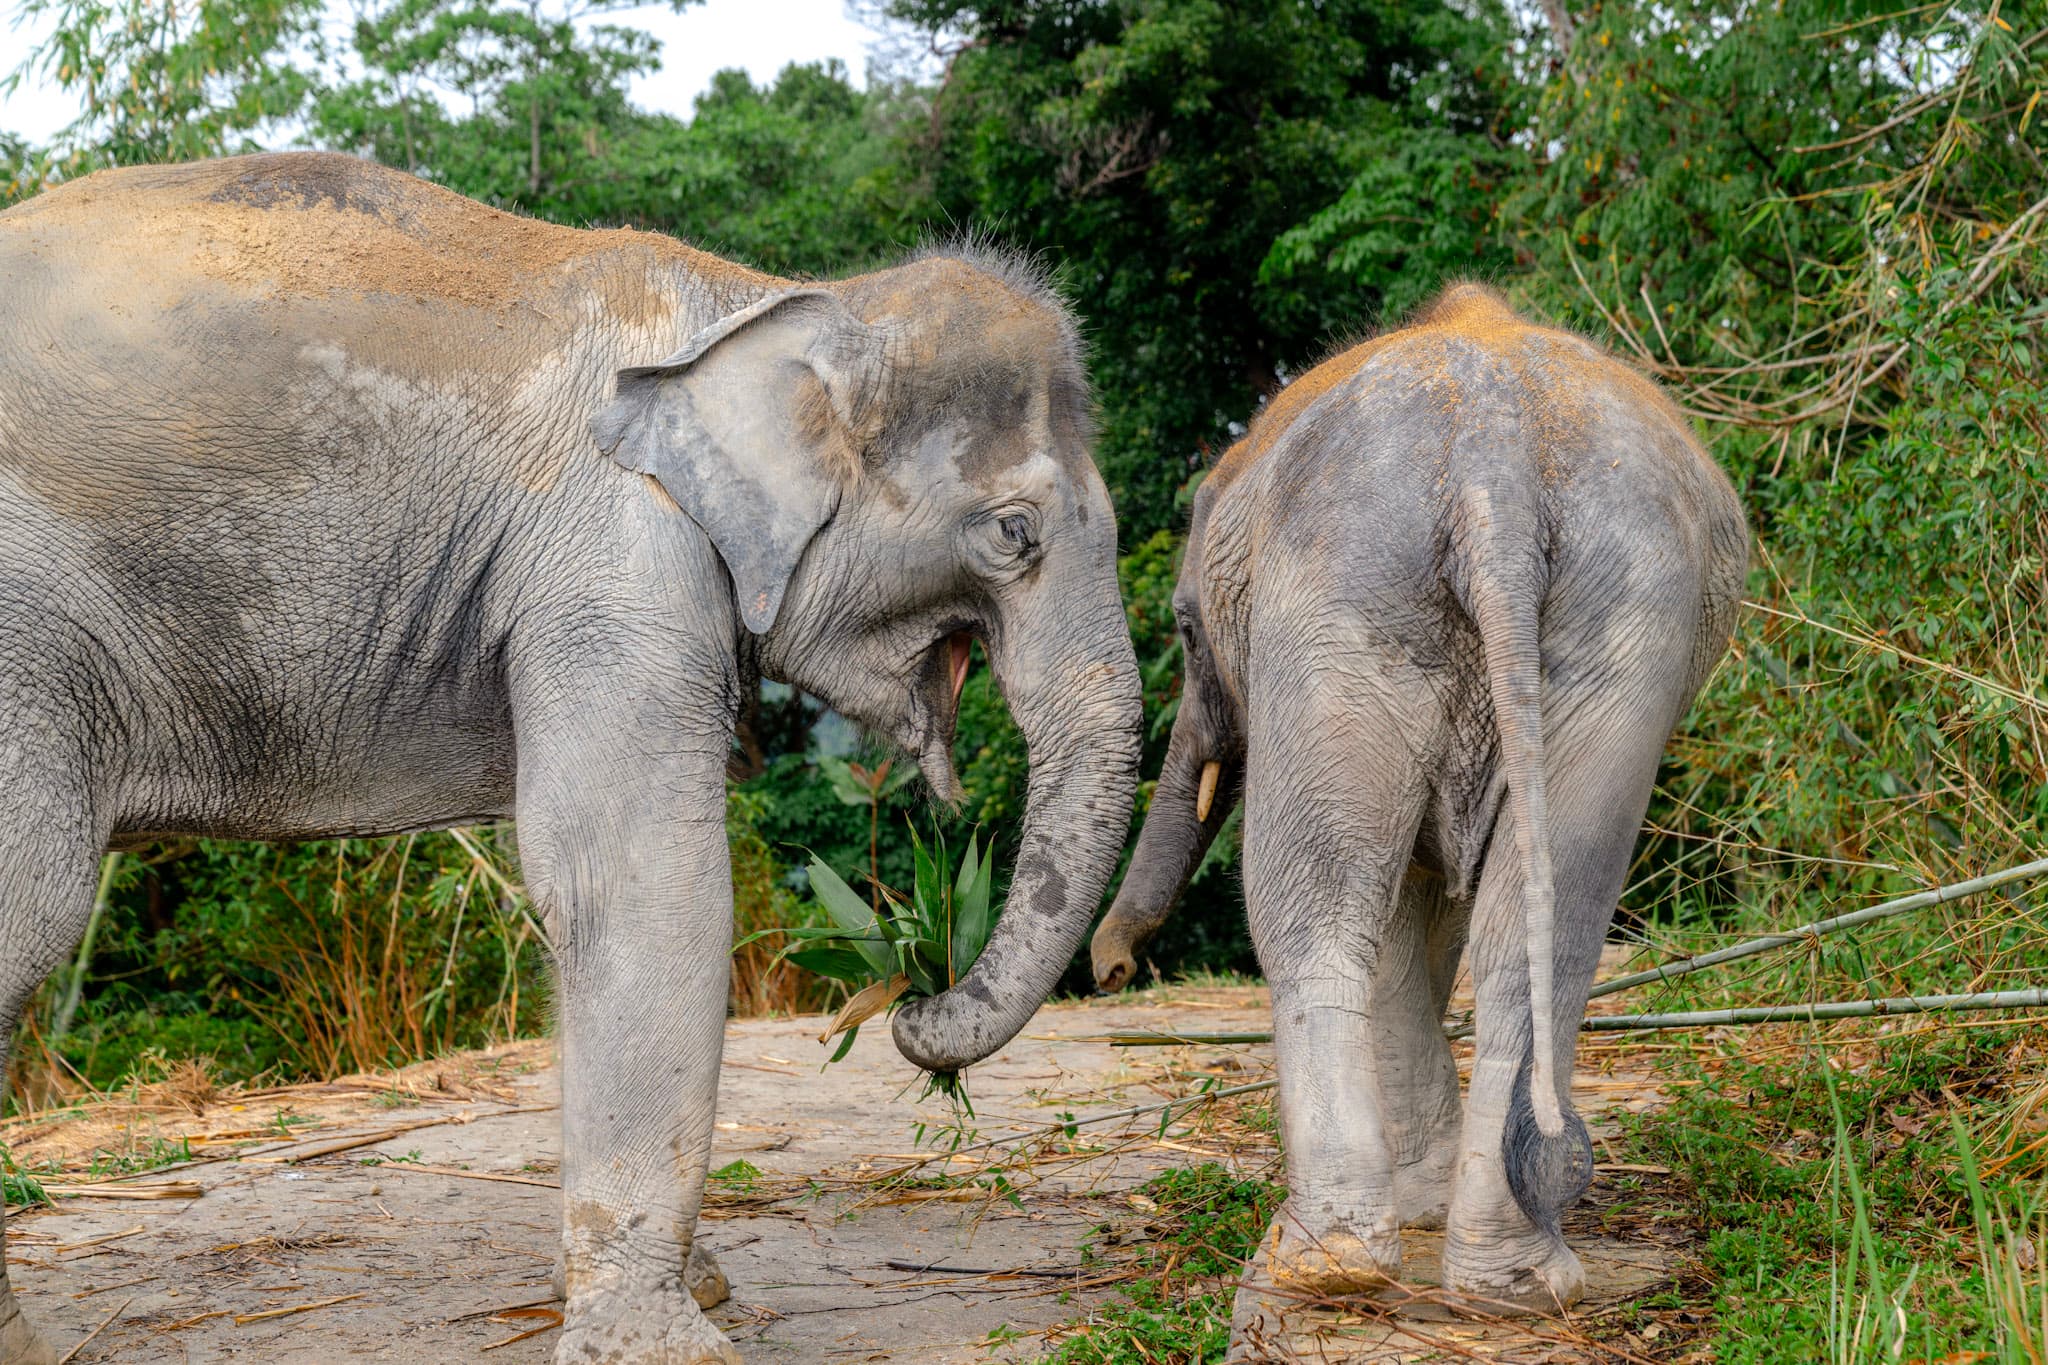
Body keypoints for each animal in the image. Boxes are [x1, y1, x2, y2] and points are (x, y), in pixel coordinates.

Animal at [0, 151, 1141, 1364]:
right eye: (1013, 534)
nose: (909, 1005)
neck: (773, 300)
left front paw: (695, 1293)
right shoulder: (619, 557)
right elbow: (635, 884)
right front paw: (665, 1345)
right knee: (33, 906)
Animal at [1088, 284, 1746, 1329]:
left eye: (1186, 631)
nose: (1109, 970)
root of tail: (1492, 464)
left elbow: (1402, 905)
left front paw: (1411, 1203)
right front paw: (1428, 1201)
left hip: (1347, 602)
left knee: (1315, 907)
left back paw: (1326, 1265)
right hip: (1598, 619)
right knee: (1542, 923)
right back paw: (1512, 1281)